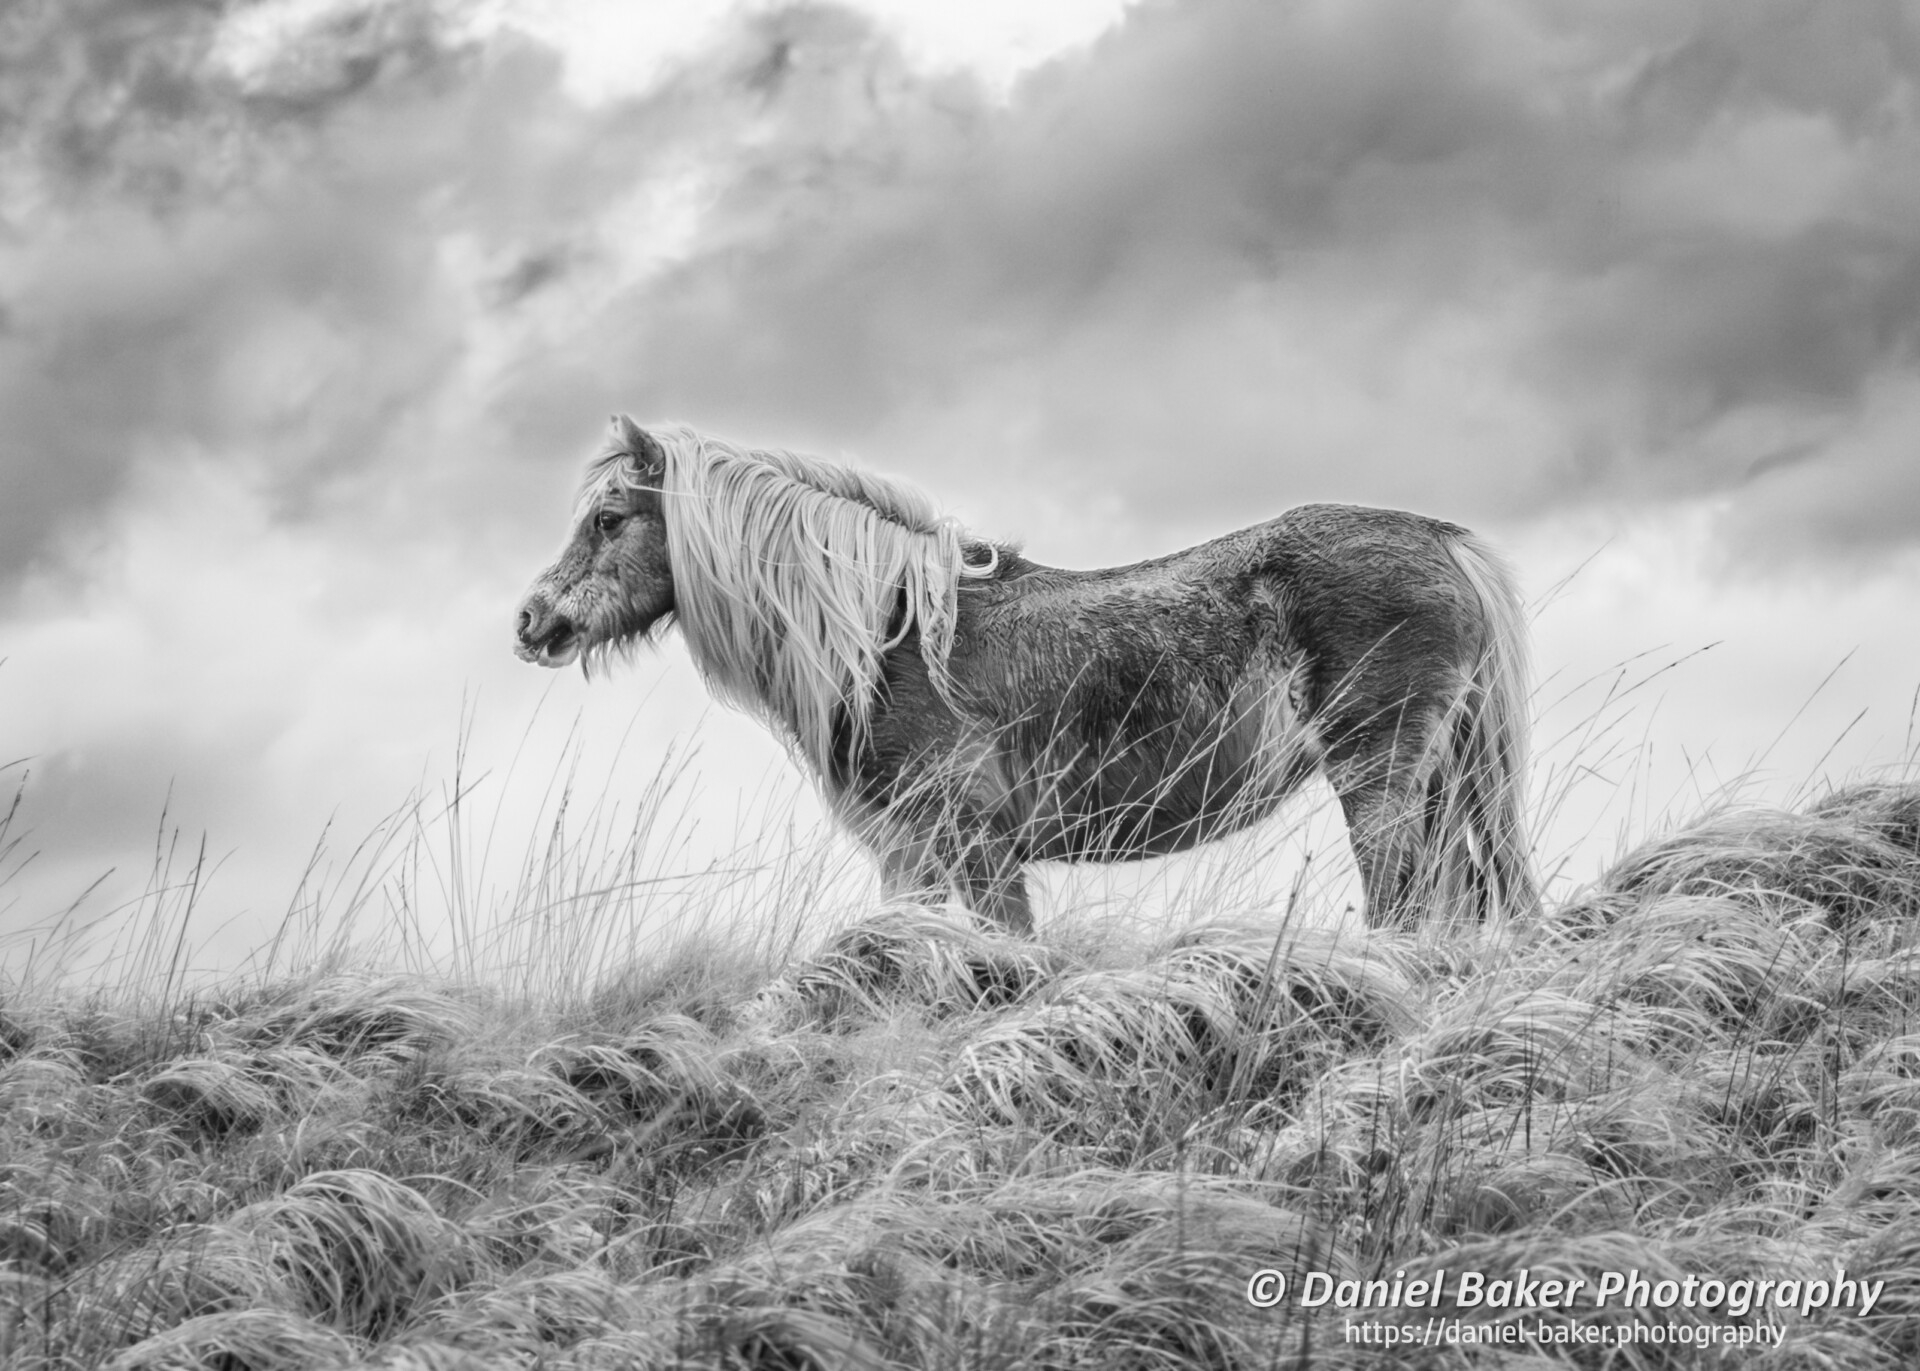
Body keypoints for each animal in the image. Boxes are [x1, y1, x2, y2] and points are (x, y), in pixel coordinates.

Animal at [515, 416, 1539, 935]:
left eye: (609, 517)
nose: (531, 622)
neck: (882, 633)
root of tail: (1441, 538)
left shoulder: (975, 847)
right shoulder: (912, 861)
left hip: (1379, 775)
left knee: (1410, 906)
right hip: (1440, 777)